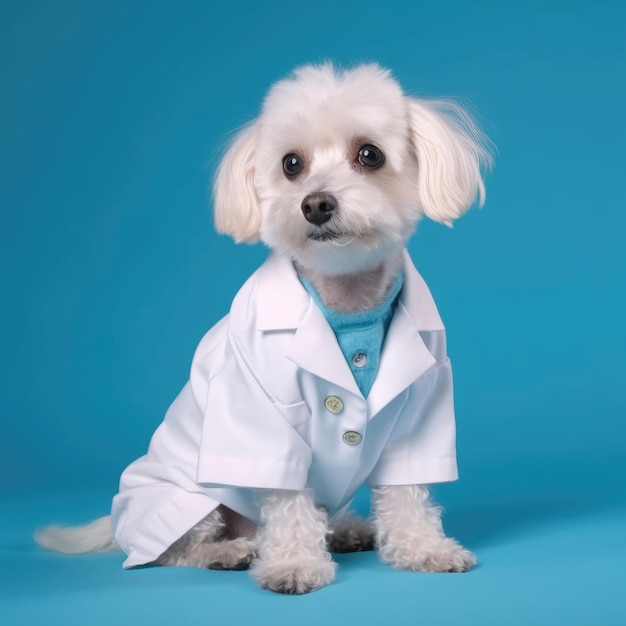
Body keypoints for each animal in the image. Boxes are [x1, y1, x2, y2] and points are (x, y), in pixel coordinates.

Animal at [36, 64, 490, 596]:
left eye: (370, 154)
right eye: (291, 164)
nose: (316, 204)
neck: (346, 298)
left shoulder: (424, 401)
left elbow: (407, 489)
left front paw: (423, 548)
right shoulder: (261, 414)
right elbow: (287, 500)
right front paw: (293, 564)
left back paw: (345, 530)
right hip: (191, 501)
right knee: (175, 550)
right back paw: (228, 552)